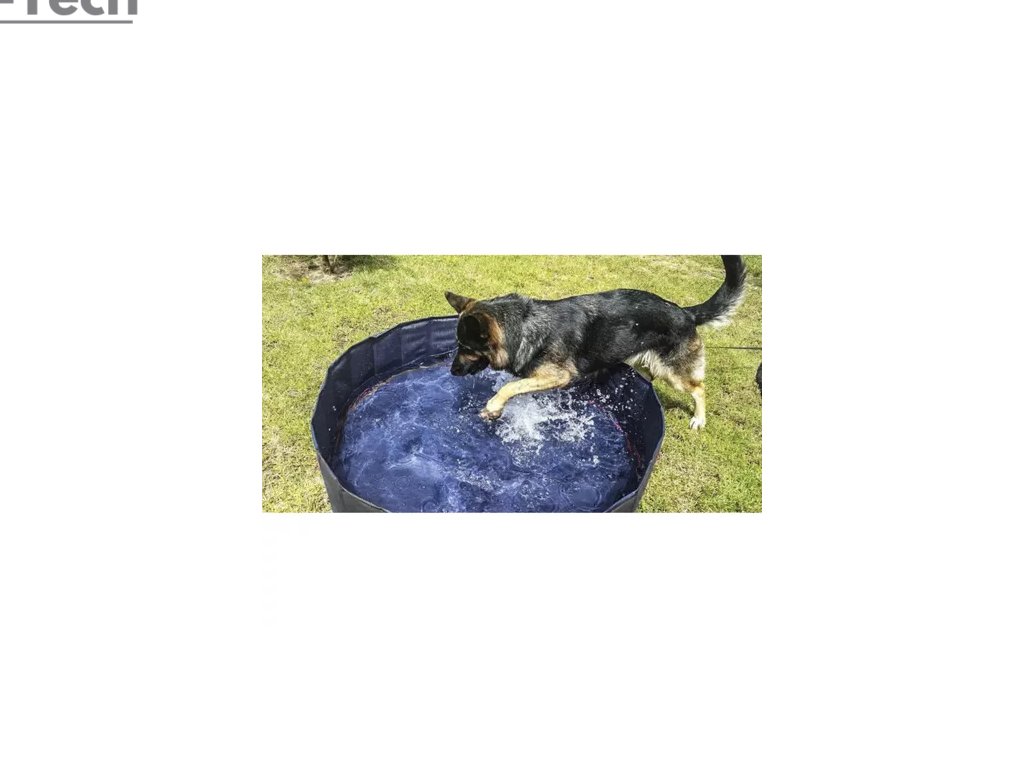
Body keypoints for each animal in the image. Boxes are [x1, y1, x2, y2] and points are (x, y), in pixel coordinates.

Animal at [446, 255, 746, 429]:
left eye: (466, 348)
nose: (452, 371)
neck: (524, 327)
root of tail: (685, 312)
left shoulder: (559, 376)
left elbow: (510, 386)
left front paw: (493, 405)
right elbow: (516, 386)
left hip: (672, 372)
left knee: (699, 388)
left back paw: (699, 418)